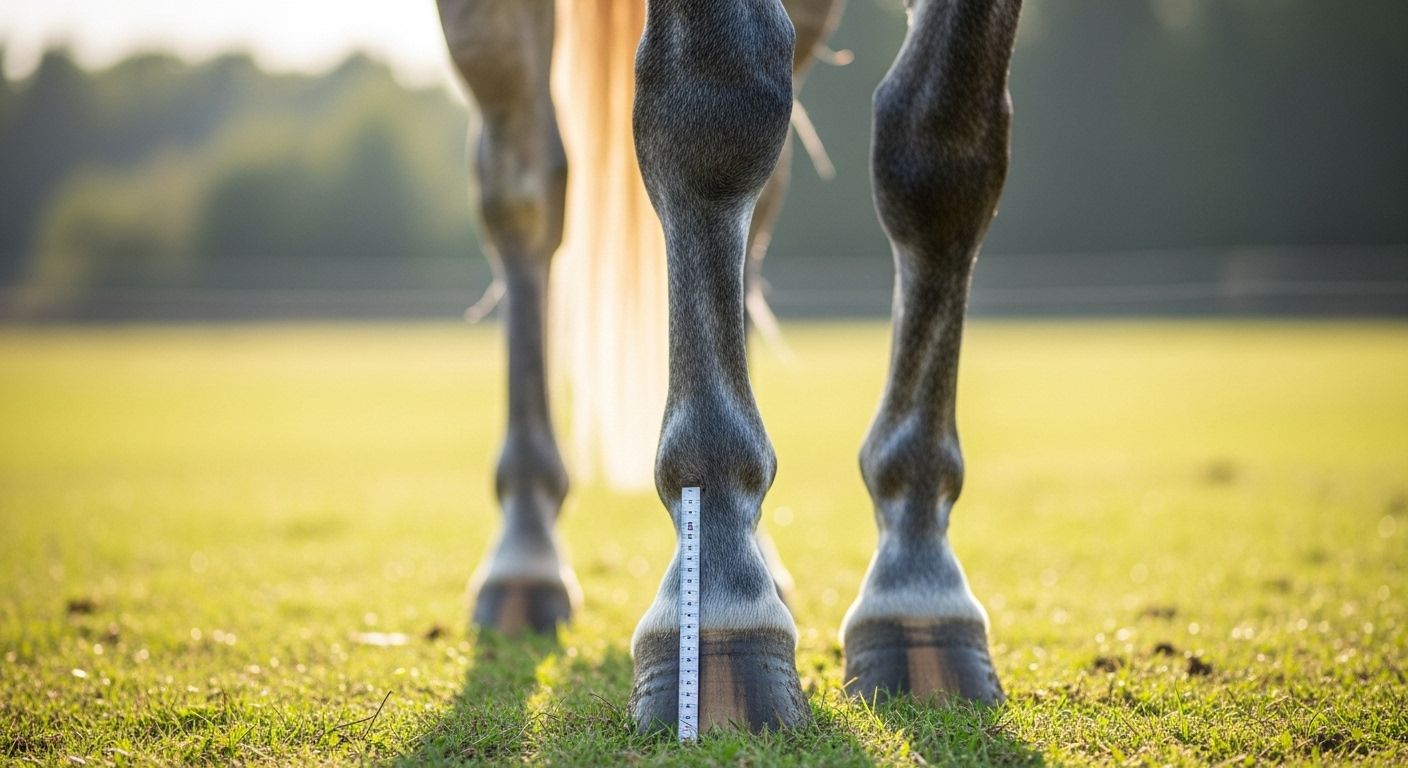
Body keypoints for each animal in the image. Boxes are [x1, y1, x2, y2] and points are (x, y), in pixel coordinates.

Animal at [436, 0, 1022, 733]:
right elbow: (716, 109)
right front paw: (719, 590)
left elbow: (942, 152)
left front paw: (916, 579)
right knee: (523, 187)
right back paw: (526, 549)